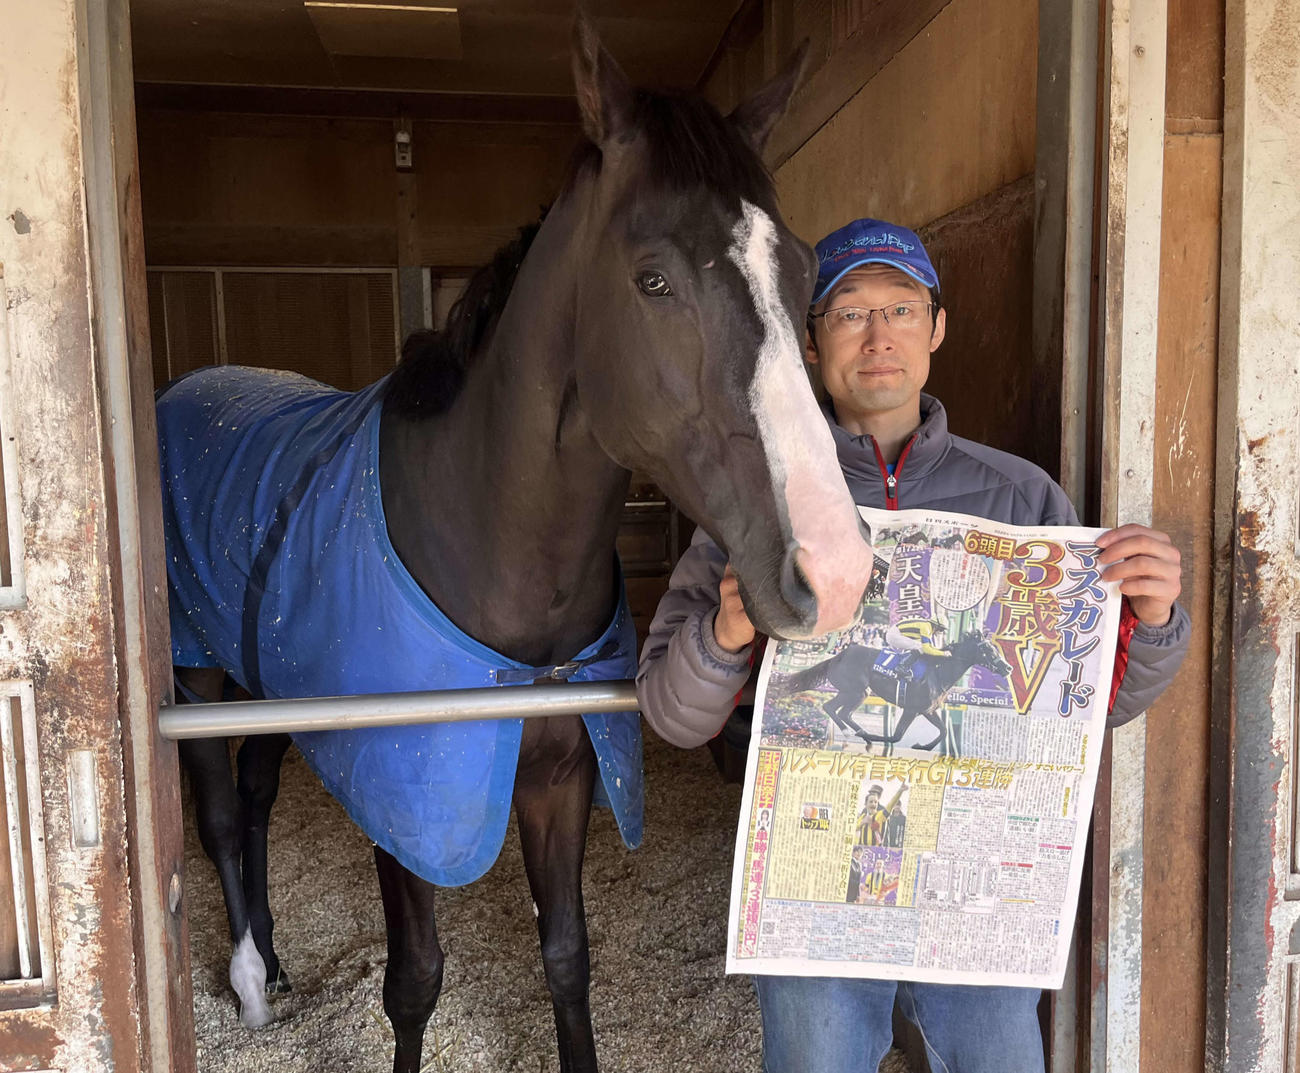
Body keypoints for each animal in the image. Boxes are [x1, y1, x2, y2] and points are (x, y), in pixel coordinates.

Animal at [158, 18, 875, 1073]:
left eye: (801, 268)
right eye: (653, 278)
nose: (836, 568)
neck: (490, 547)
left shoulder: (562, 776)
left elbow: (567, 955)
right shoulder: (404, 799)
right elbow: (414, 980)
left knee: (251, 795)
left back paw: (277, 968)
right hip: (198, 675)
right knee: (213, 811)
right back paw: (249, 984)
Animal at [778, 630, 1013, 753]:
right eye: (988, 649)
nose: (1008, 668)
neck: (939, 671)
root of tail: (839, 655)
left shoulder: (927, 710)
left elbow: (944, 731)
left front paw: (923, 746)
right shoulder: (911, 709)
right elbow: (896, 736)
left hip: (853, 691)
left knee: (833, 708)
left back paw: (859, 735)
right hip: (856, 691)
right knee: (839, 711)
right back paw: (858, 734)